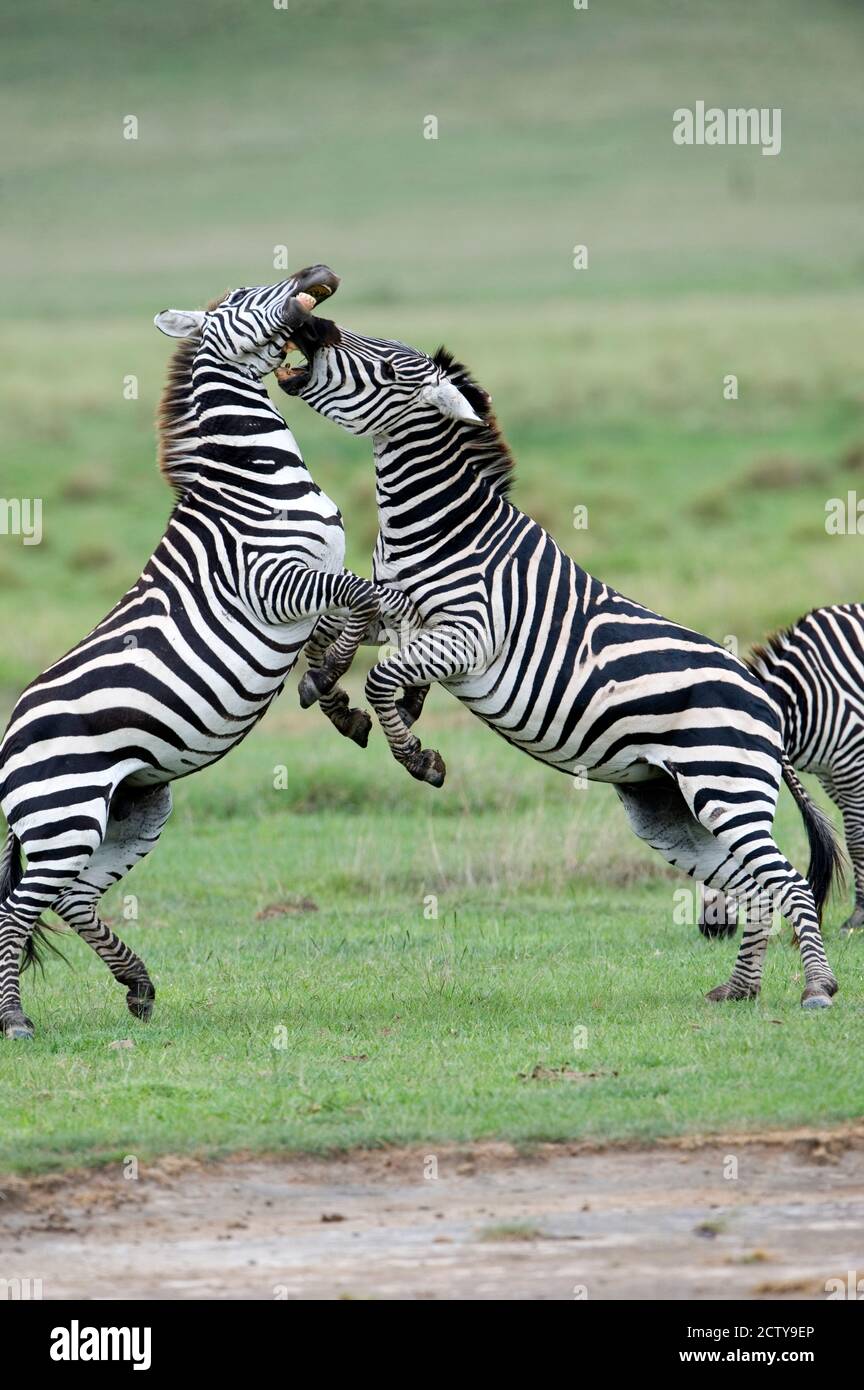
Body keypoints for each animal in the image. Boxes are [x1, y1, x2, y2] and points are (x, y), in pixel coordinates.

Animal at [0, 268, 377, 1045]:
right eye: (241, 298)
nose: (316, 275)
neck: (253, 478)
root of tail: (9, 736)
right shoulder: (271, 581)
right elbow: (361, 596)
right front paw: (331, 681)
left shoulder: (312, 581)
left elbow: (340, 621)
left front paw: (334, 697)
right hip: (62, 814)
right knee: (18, 907)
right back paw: (15, 1020)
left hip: (135, 807)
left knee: (72, 900)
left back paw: (138, 986)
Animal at [279, 315, 844, 1011]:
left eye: (384, 365)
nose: (311, 323)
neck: (437, 529)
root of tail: (767, 706)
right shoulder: (399, 611)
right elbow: (344, 619)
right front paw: (331, 687)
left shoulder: (471, 634)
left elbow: (383, 673)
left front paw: (416, 754)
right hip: (668, 808)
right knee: (754, 885)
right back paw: (737, 991)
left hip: (724, 781)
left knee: (787, 880)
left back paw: (817, 987)